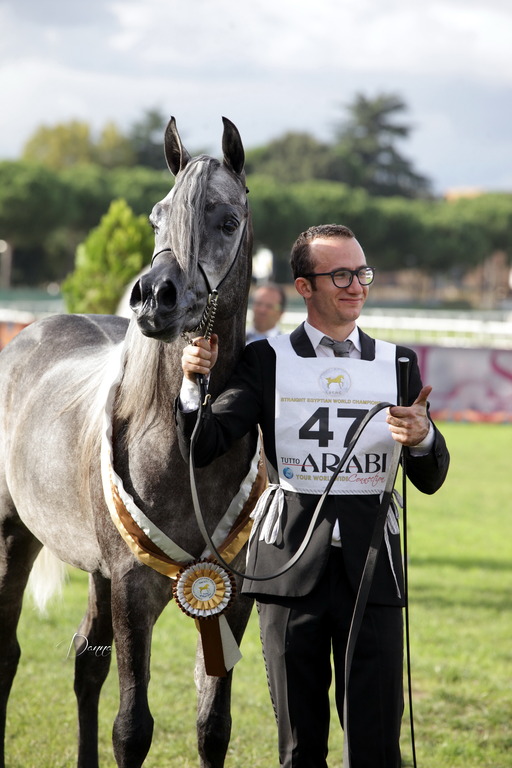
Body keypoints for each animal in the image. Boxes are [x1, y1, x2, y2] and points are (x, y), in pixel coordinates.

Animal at [0, 116, 260, 768]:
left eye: (227, 221)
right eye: (156, 217)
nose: (152, 296)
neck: (189, 444)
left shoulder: (232, 593)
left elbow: (212, 726)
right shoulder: (132, 590)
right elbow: (132, 728)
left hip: (93, 572)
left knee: (83, 663)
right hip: (14, 536)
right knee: (8, 653)